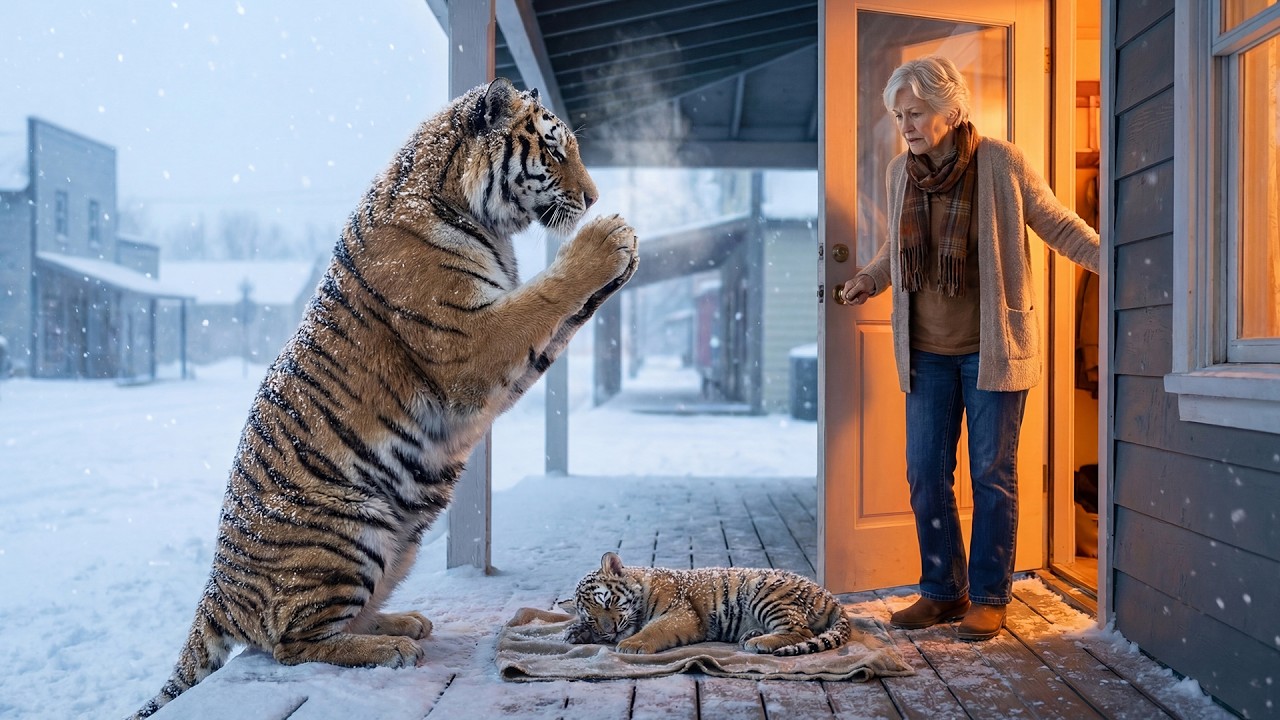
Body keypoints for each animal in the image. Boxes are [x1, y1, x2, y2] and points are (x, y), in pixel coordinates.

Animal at [127, 77, 638, 719]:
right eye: (552, 149)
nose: (593, 199)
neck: (470, 209)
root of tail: (216, 588)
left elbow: (561, 321)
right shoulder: (471, 344)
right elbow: (542, 298)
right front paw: (609, 240)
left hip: (403, 543)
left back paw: (403, 623)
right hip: (352, 529)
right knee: (291, 645)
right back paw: (391, 647)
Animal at [559, 552, 852, 657]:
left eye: (608, 601)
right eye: (591, 618)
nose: (610, 630)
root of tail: (828, 595)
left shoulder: (681, 613)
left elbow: (654, 629)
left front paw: (632, 644)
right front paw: (573, 632)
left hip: (765, 593)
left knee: (800, 630)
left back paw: (759, 642)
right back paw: (752, 634)